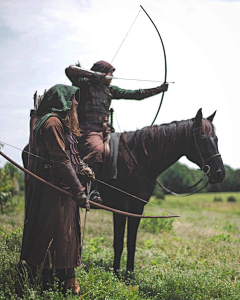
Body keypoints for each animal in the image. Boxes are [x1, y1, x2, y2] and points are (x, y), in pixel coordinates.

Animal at [95, 109, 225, 274]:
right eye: (202, 138)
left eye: (216, 139)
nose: (220, 173)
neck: (136, 160)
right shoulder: (121, 207)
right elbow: (118, 243)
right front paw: (116, 275)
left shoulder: (137, 208)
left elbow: (131, 242)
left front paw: (130, 276)